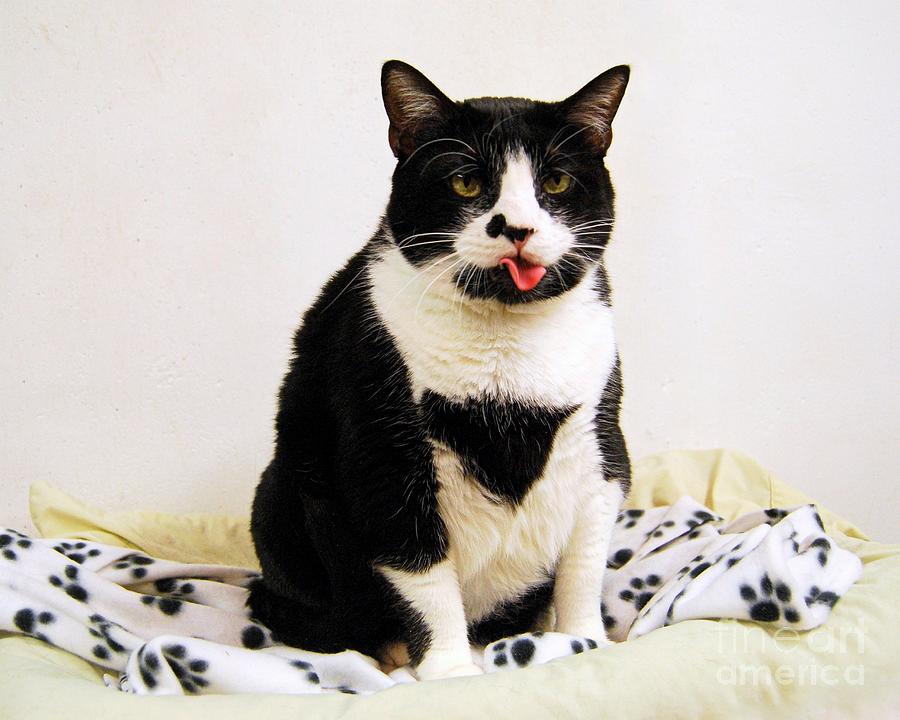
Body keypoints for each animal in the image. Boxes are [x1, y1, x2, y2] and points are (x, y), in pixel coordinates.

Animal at [248, 59, 632, 676]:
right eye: (465, 183)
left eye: (555, 183)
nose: (517, 227)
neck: (505, 340)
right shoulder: (383, 448)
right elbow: (421, 569)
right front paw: (450, 671)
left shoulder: (600, 441)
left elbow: (585, 561)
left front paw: (582, 643)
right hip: (281, 493)